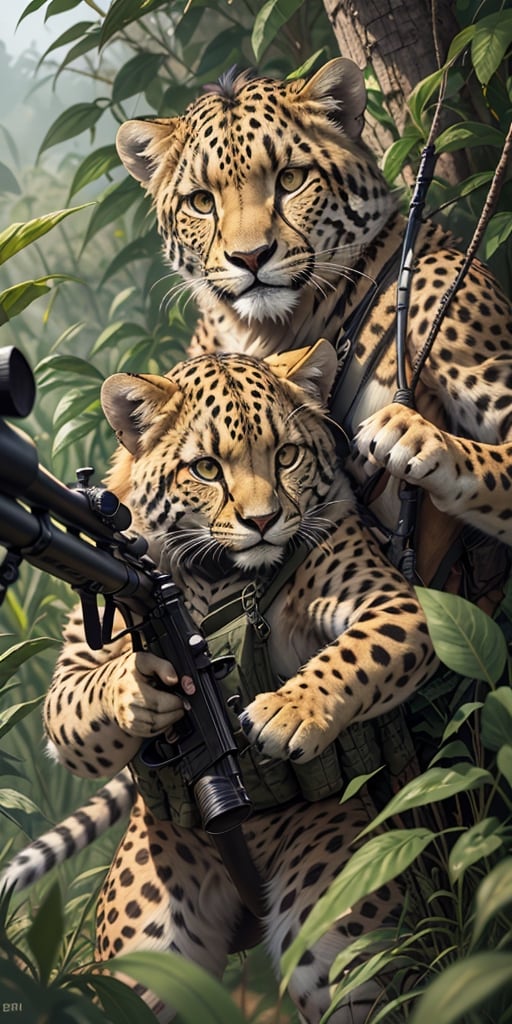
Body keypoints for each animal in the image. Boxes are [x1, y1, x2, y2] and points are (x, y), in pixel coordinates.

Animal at [5, 341, 439, 1023]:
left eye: (286, 456)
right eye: (206, 469)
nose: (263, 521)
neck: (214, 577)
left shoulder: (398, 603)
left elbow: (357, 651)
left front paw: (283, 712)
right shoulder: (75, 669)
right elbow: (74, 700)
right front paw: (136, 690)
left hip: (338, 915)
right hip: (146, 943)